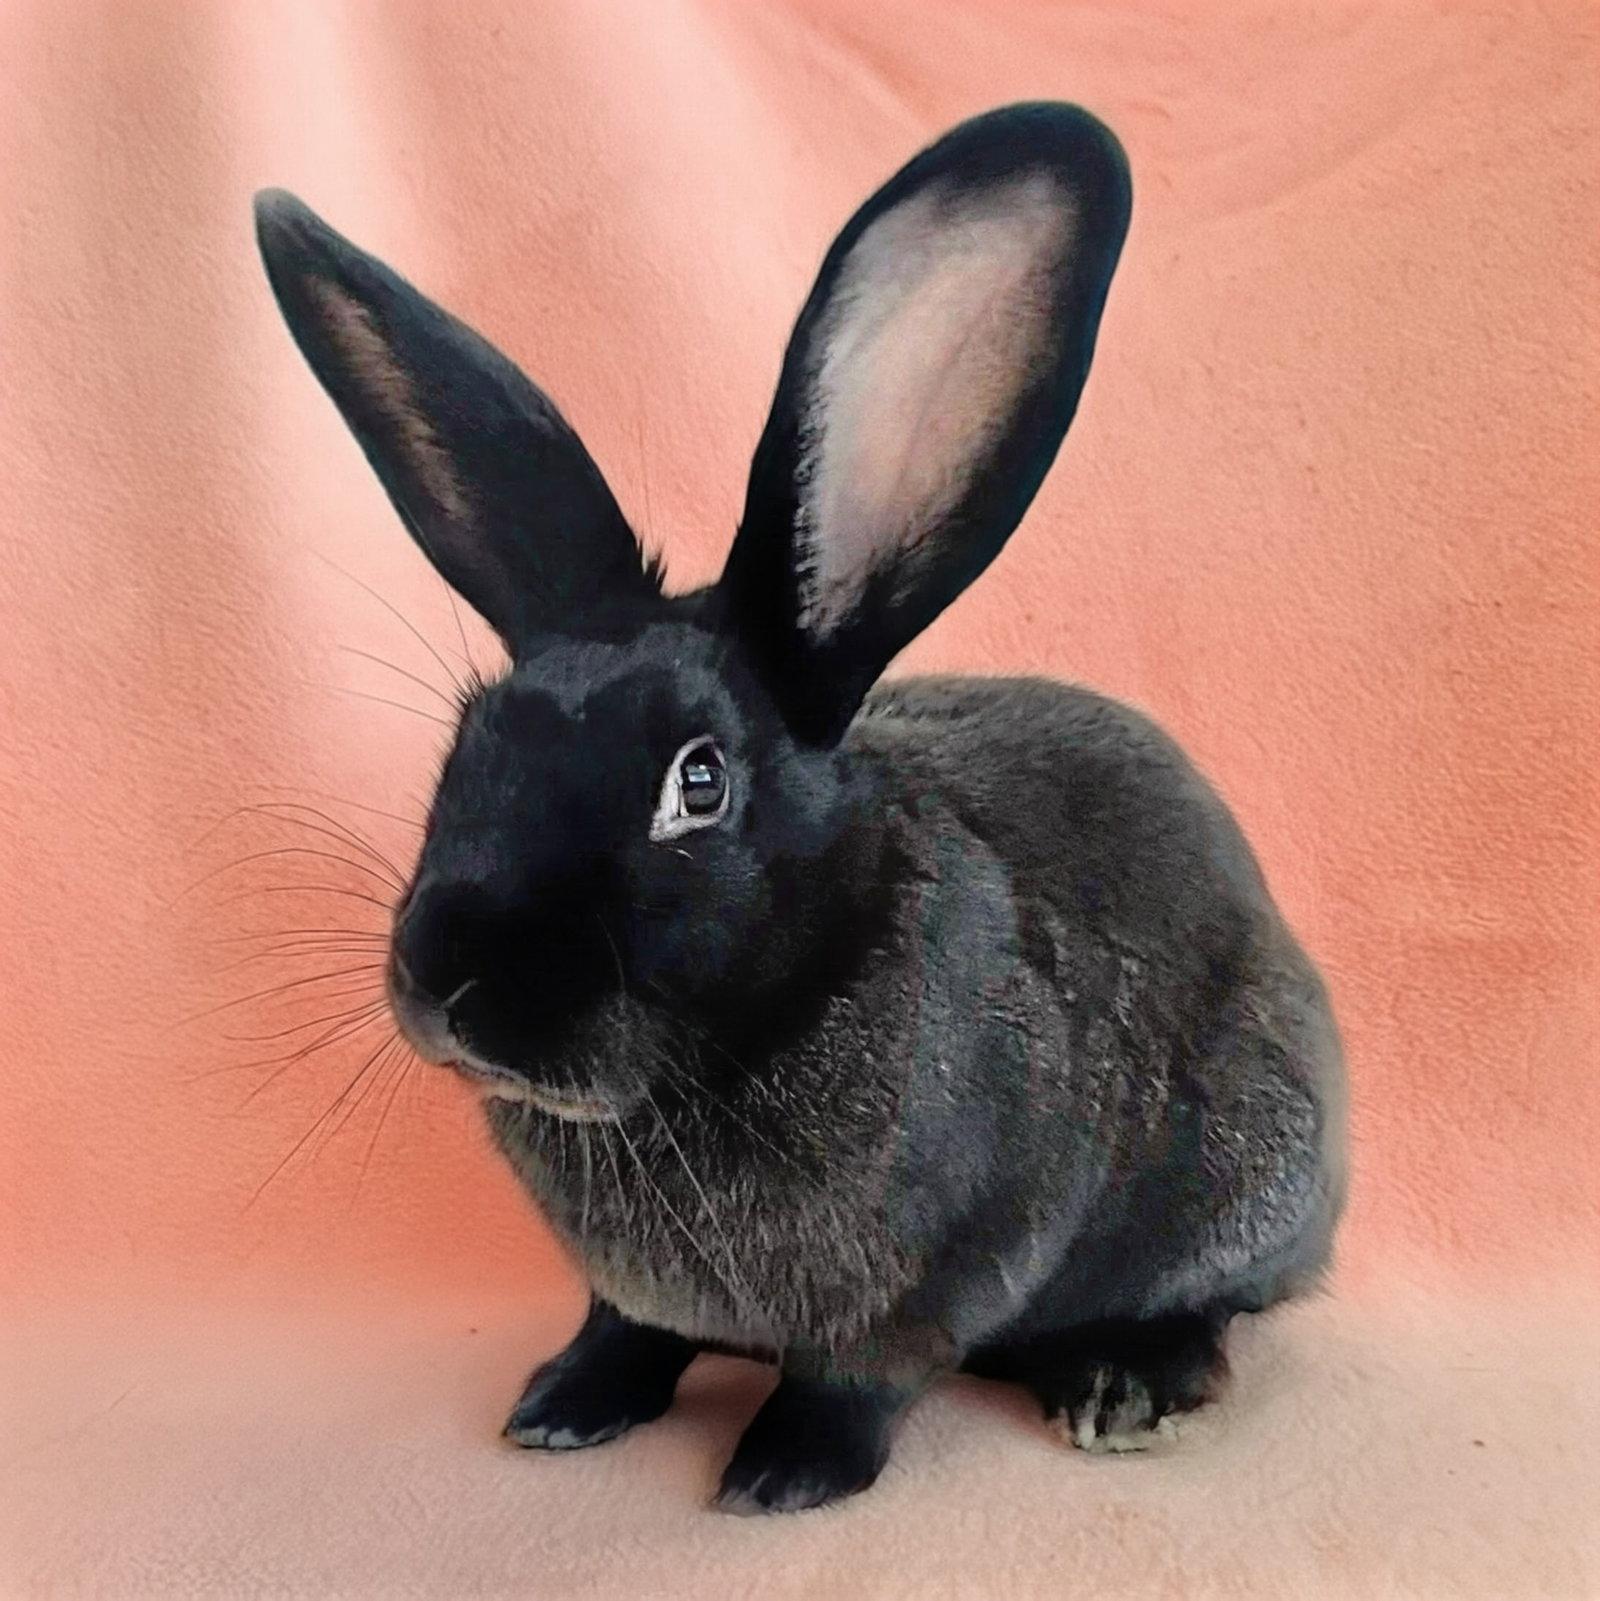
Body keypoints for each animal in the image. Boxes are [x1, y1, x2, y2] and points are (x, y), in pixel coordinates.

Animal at [255, 101, 1346, 1514]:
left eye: (698, 783)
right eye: (469, 739)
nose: (450, 978)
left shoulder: (947, 1264)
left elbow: (860, 1376)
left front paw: (780, 1471)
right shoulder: (630, 1292)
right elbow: (624, 1328)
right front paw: (561, 1407)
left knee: (1217, 1308)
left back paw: (1121, 1384)